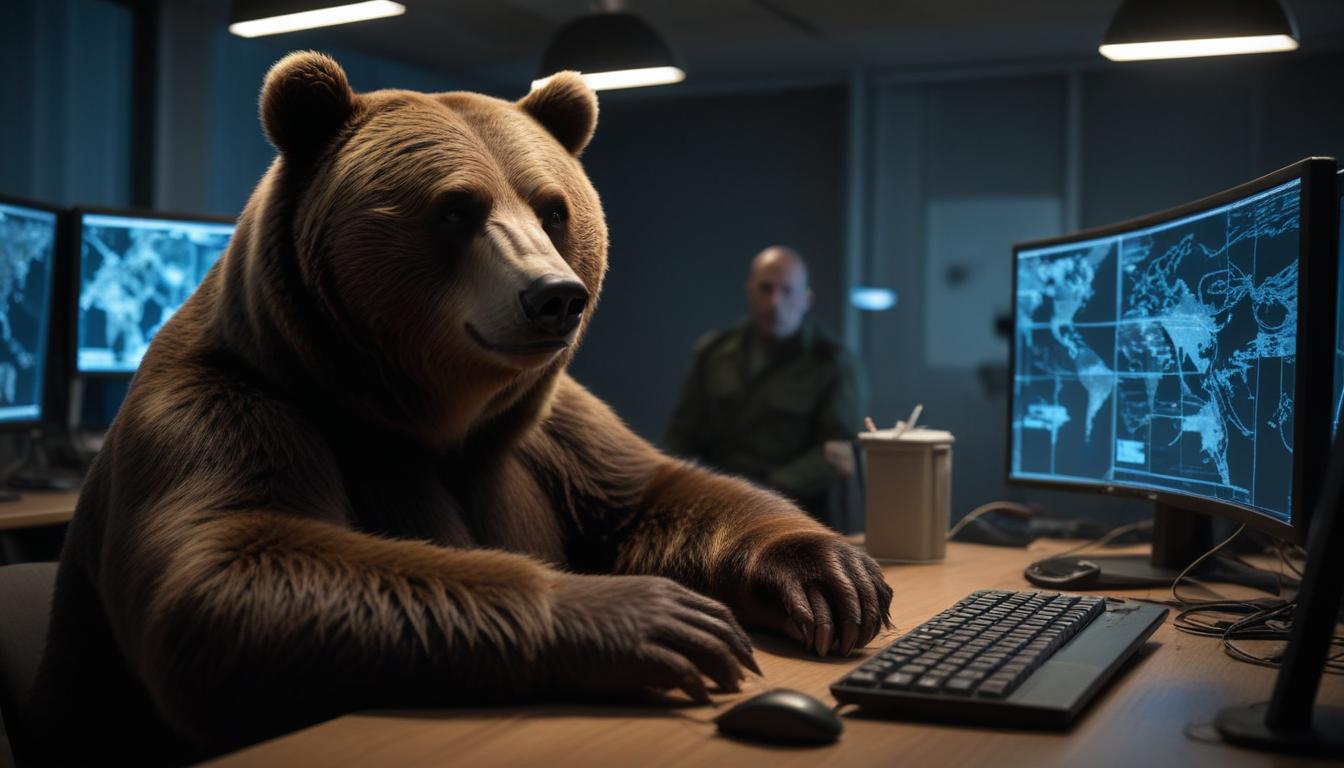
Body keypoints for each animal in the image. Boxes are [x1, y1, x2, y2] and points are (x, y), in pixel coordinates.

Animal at [23, 51, 893, 766]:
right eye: (455, 209)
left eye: (552, 208)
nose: (555, 297)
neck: (431, 415)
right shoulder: (233, 410)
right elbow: (231, 564)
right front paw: (659, 616)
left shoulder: (545, 429)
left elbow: (652, 491)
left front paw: (833, 572)